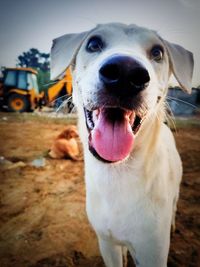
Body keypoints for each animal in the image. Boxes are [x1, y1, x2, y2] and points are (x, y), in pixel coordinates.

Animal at [50, 23, 194, 267]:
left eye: (158, 52)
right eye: (93, 44)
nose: (125, 73)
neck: (117, 176)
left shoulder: (152, 251)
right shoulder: (106, 243)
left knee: (175, 205)